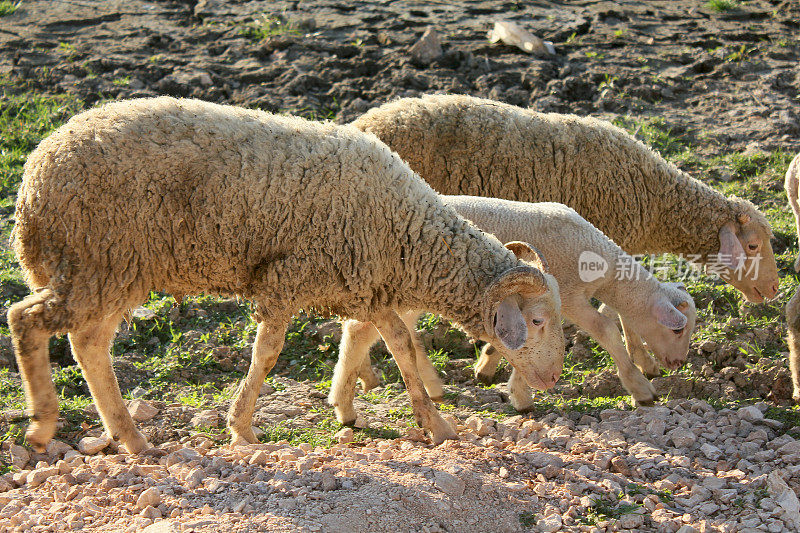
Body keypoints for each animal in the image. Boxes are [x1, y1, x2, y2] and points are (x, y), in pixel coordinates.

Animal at [9, 96, 564, 454]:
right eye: (536, 322)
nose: (555, 378)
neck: (403, 230)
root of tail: (35, 171)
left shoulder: (364, 286)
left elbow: (402, 346)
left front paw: (436, 423)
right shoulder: (287, 280)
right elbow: (267, 354)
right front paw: (241, 427)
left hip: (111, 270)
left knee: (88, 344)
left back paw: (130, 437)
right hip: (96, 260)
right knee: (26, 319)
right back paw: (42, 427)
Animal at [332, 196, 692, 412]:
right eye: (678, 331)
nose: (678, 364)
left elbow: (519, 344)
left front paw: (495, 372)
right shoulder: (568, 296)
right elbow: (605, 328)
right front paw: (640, 387)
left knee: (394, 331)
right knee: (363, 330)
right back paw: (346, 398)